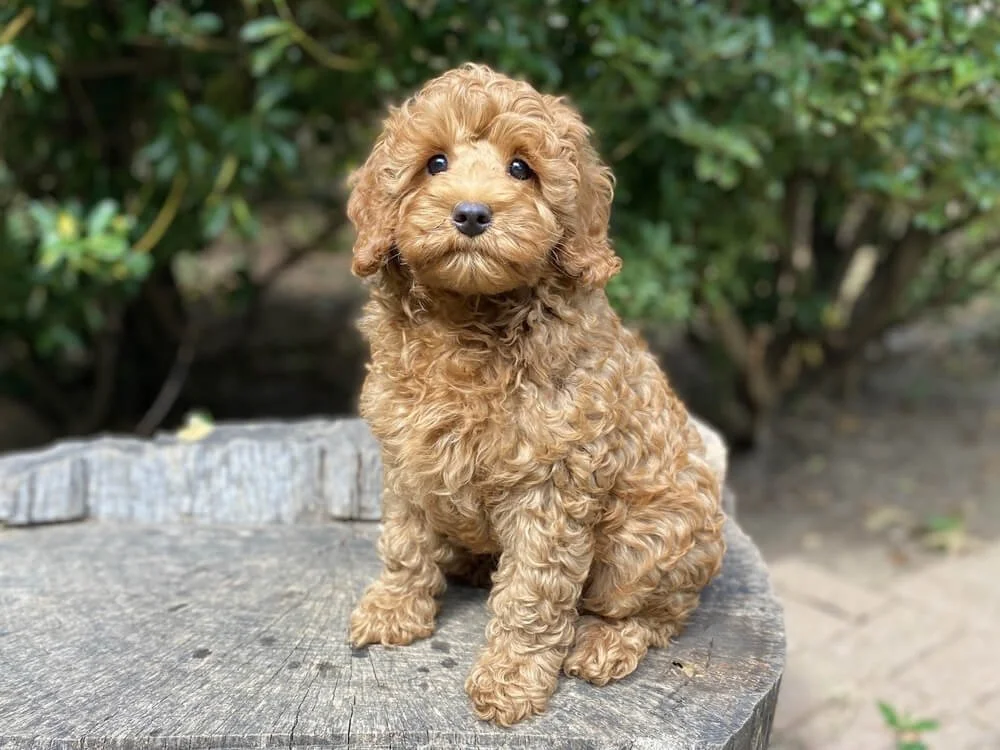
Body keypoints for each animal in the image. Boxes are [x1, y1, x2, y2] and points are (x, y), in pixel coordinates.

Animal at [345, 63, 727, 727]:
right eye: (434, 163)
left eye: (521, 168)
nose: (472, 214)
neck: (469, 320)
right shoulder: (407, 456)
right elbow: (405, 542)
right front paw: (394, 609)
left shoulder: (552, 482)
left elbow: (533, 591)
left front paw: (510, 680)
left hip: (651, 540)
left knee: (658, 612)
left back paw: (605, 642)